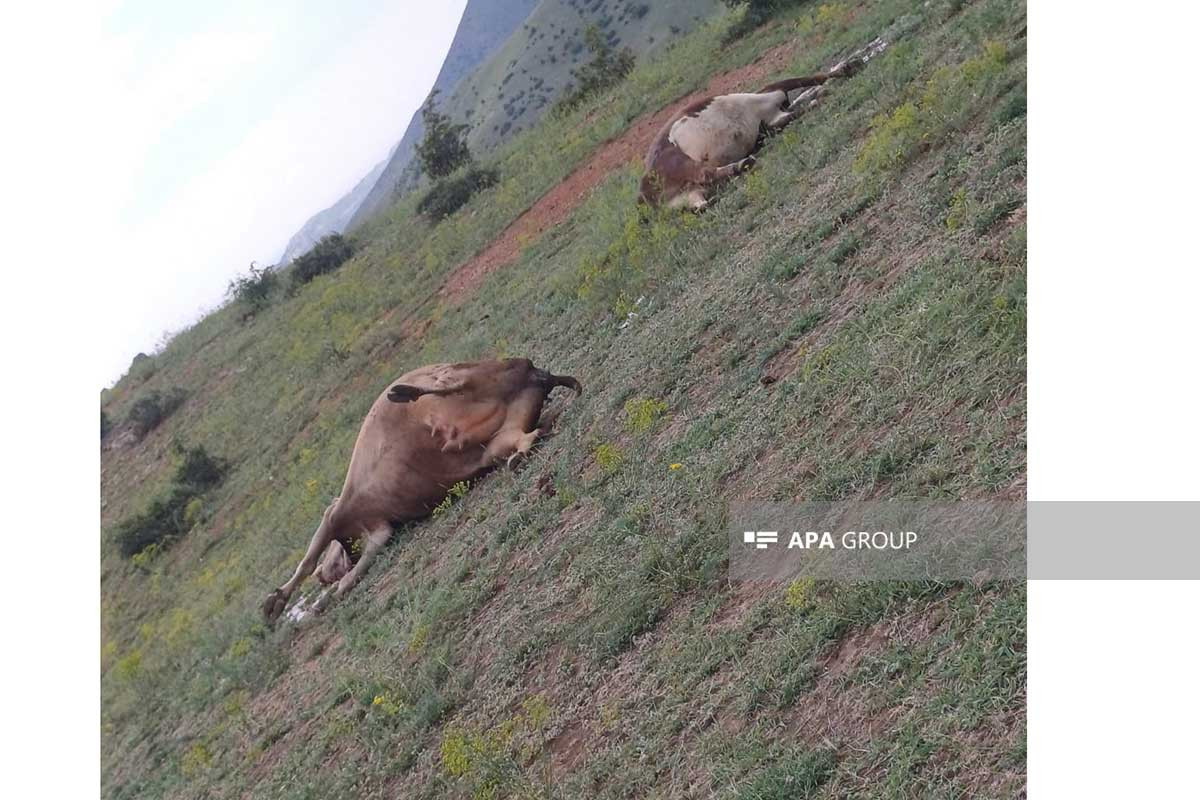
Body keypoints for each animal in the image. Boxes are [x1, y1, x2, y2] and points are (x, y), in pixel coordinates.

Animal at [262, 357, 580, 623]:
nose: (323, 577)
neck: (356, 527)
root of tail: (537, 373)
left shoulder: (334, 514)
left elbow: (307, 561)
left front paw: (276, 603)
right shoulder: (380, 531)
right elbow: (355, 571)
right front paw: (325, 597)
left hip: (458, 378)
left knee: (445, 385)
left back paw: (404, 392)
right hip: (499, 438)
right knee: (526, 436)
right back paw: (519, 454)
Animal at [643, 57, 868, 211]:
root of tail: (643, 193)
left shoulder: (772, 119)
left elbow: (796, 109)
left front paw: (819, 95)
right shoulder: (770, 93)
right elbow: (808, 79)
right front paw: (849, 66)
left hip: (689, 194)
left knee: (701, 200)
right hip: (679, 160)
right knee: (705, 173)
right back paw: (744, 163)